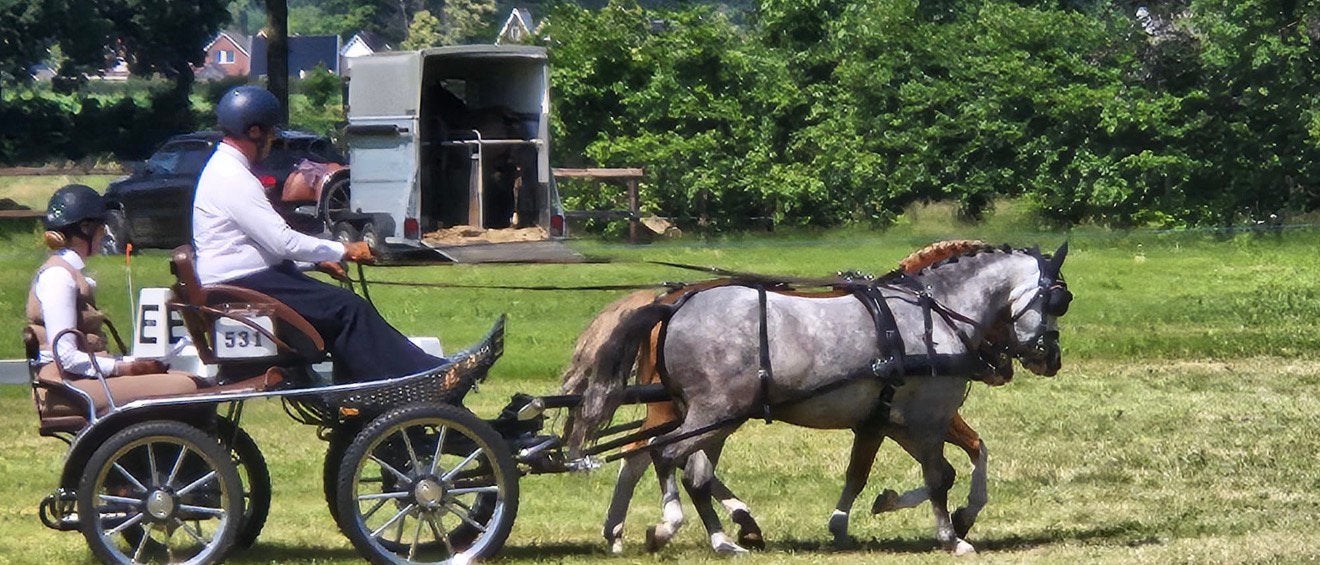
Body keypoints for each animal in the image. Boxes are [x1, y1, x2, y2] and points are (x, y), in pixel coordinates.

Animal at [568, 242, 1072, 555]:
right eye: (1058, 300)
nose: (1050, 358)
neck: (934, 314)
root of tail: (673, 304)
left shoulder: (885, 420)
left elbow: (867, 472)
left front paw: (851, 519)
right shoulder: (928, 417)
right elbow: (940, 476)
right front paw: (952, 535)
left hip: (713, 417)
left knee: (687, 470)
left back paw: (721, 537)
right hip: (710, 412)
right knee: (661, 455)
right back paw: (669, 527)